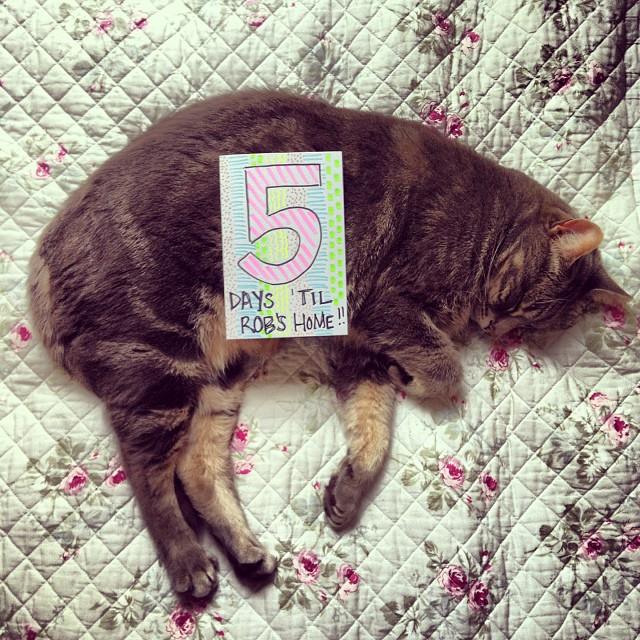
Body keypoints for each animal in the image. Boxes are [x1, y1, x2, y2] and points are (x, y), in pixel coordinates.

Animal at [28, 89, 628, 598]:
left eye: (530, 327)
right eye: (521, 302)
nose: (499, 324)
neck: (488, 220)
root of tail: (43, 265)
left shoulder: (356, 348)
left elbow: (374, 425)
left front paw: (349, 488)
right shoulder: (388, 304)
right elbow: (444, 371)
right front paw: (420, 376)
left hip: (222, 373)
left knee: (198, 466)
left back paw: (247, 553)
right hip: (161, 356)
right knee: (146, 469)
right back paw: (189, 563)